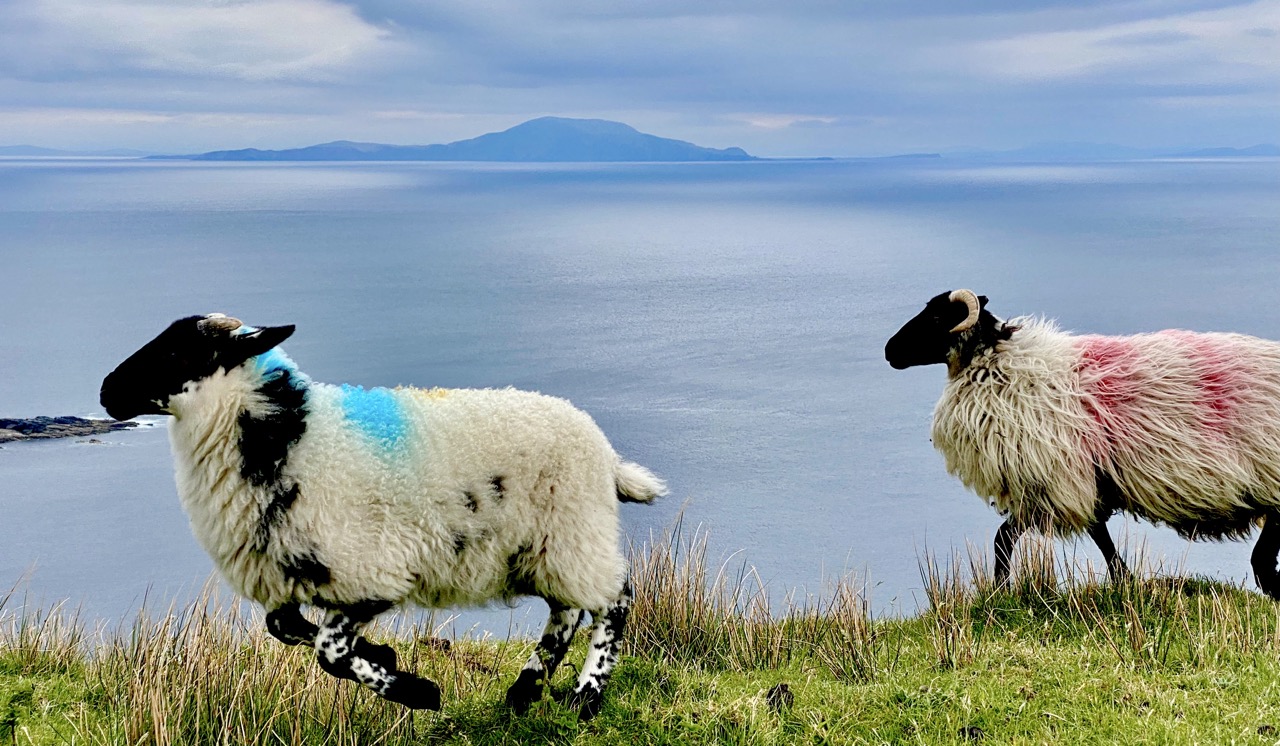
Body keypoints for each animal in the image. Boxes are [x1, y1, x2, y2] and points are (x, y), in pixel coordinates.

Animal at [99, 314, 666, 718]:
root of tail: (605, 452)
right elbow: (284, 627)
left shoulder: (368, 571)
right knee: (566, 613)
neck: (287, 441)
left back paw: (585, 695)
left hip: (575, 534)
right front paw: (385, 655)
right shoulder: (298, 573)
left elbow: (329, 651)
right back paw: (523, 692)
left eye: (181, 350)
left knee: (616, 600)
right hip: (541, 549)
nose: (106, 390)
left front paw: (417, 691)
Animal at [884, 289, 1280, 597]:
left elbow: (1004, 539)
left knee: (1263, 553)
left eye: (937, 317)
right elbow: (1095, 536)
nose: (889, 351)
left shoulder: (1052, 483)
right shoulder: (1079, 484)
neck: (1002, 369)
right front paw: (1124, 581)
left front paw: (999, 592)